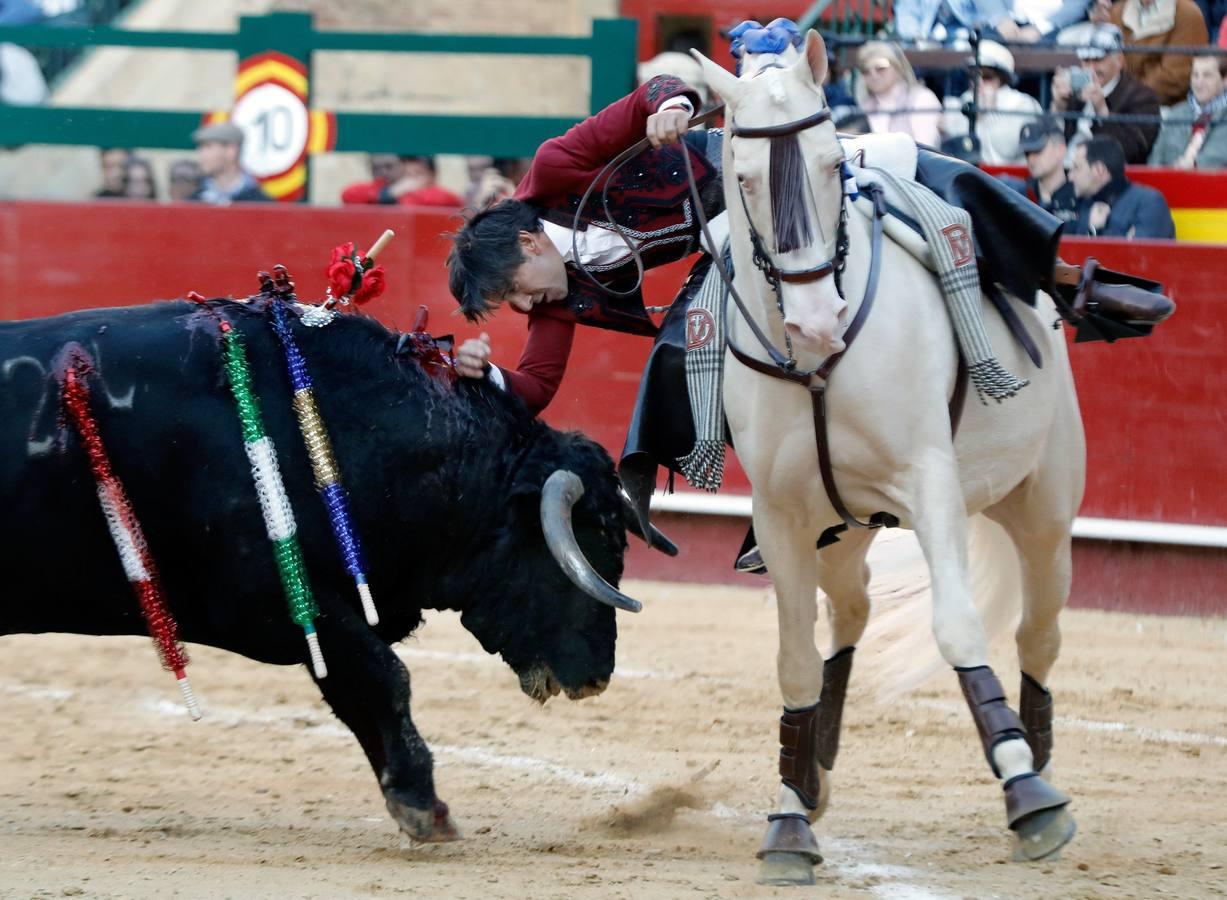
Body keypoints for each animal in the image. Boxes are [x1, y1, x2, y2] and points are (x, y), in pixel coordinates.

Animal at [0, 298, 647, 839]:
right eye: (592, 541)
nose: (596, 677)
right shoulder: (275, 605)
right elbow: (384, 680)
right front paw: (426, 807)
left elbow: (357, 692)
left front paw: (407, 799)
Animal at [696, 33, 1089, 884]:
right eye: (743, 178)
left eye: (827, 164)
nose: (816, 321)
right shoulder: (779, 517)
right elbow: (793, 661)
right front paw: (787, 817)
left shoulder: (928, 481)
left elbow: (959, 628)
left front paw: (1026, 795)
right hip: (843, 528)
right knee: (850, 612)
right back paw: (812, 771)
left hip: (1044, 509)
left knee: (1038, 635)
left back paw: (1040, 760)